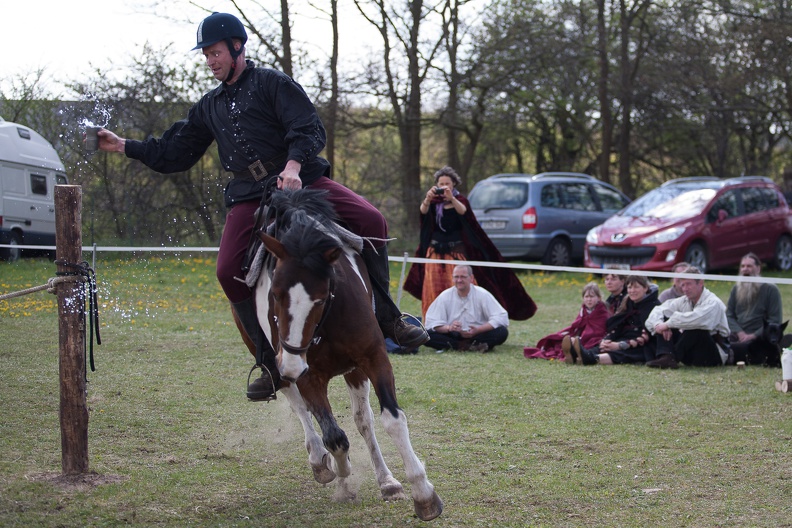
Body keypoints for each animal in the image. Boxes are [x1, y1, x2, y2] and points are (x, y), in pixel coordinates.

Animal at [252, 190, 442, 520]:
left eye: (320, 297)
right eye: (274, 293)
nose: (290, 364)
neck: (327, 320)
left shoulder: (374, 358)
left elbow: (392, 420)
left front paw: (423, 493)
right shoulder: (309, 377)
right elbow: (334, 437)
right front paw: (340, 476)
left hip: (353, 370)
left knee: (363, 420)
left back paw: (387, 481)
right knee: (302, 410)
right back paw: (320, 461)